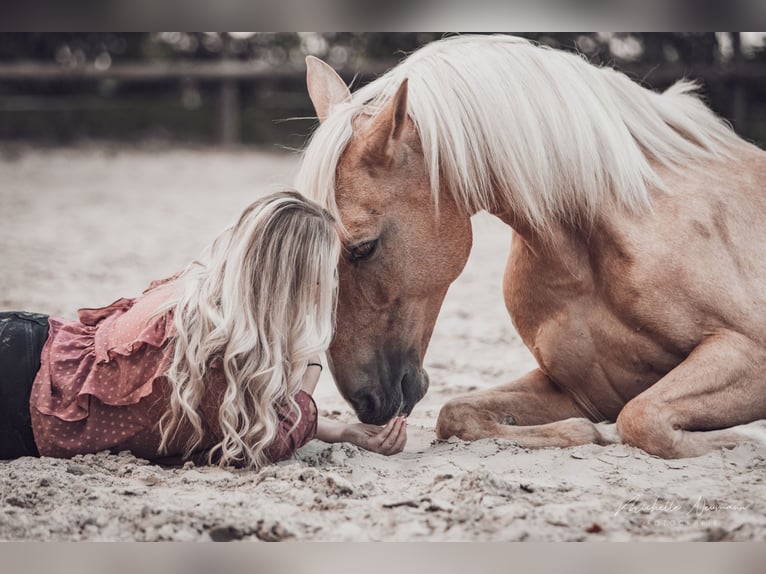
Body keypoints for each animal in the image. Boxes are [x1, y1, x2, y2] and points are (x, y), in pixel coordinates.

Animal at [296, 35, 766, 460]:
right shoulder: (585, 390)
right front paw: (588, 434)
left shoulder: (749, 354)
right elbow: (457, 413)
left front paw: (737, 440)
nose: (366, 403)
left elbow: (641, 417)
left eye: (363, 248)